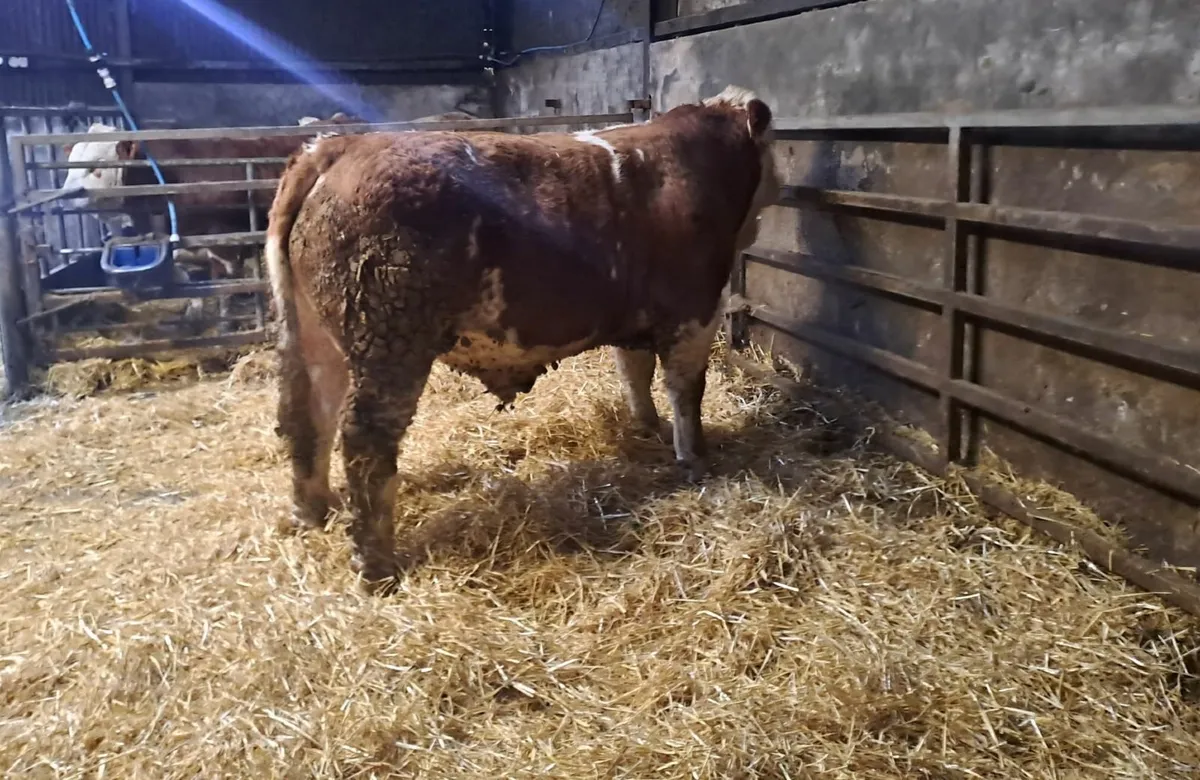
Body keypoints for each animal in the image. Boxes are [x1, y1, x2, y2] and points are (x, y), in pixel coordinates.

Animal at [264, 85, 778, 589]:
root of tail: (338, 146)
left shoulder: (636, 318)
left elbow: (634, 372)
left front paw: (647, 428)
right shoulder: (694, 311)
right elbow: (687, 391)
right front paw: (695, 461)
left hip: (310, 334)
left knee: (305, 417)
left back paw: (311, 512)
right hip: (390, 339)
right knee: (364, 440)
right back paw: (376, 567)